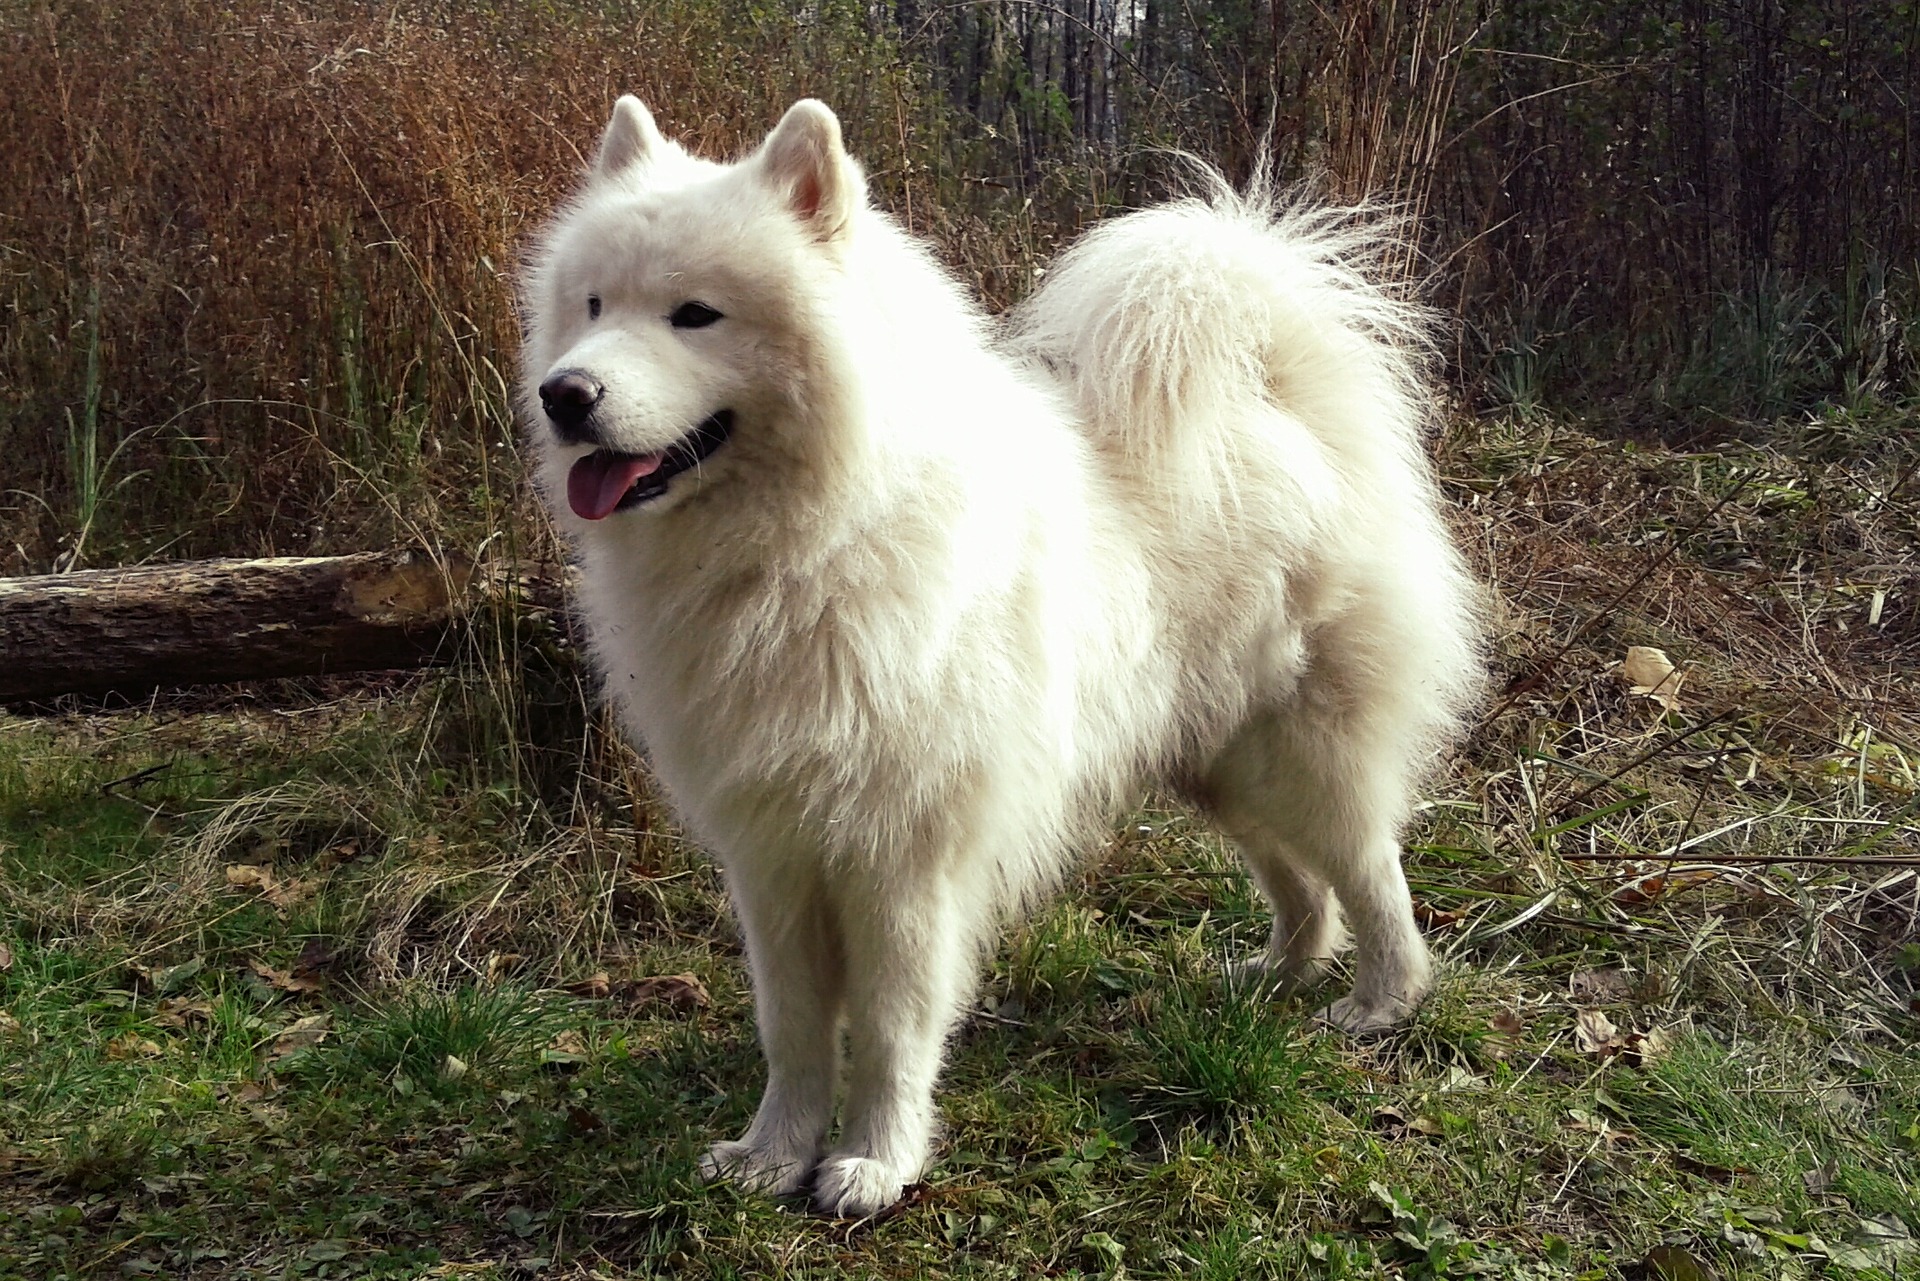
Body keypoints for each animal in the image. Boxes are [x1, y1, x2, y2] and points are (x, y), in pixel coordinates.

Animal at [518, 95, 1474, 1221]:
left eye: (695, 315)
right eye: (592, 304)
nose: (565, 394)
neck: (811, 543)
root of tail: (1283, 406)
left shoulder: (901, 858)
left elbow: (892, 1029)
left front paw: (876, 1164)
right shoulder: (775, 855)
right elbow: (792, 1030)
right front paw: (771, 1154)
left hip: (1302, 754)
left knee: (1372, 872)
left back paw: (1380, 1004)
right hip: (1215, 761)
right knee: (1302, 883)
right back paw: (1277, 974)